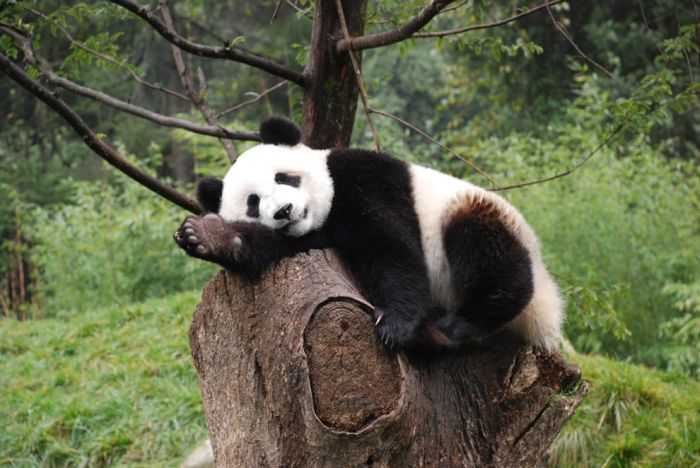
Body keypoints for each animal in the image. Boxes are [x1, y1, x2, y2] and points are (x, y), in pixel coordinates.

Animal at [176, 118, 564, 348]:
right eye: (254, 203)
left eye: (284, 177)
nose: (284, 211)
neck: (327, 208)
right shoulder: (312, 235)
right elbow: (274, 246)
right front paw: (205, 235)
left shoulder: (367, 180)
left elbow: (390, 248)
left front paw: (394, 323)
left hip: (481, 220)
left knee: (489, 254)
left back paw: (461, 322)